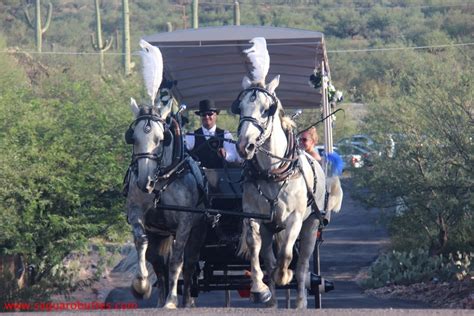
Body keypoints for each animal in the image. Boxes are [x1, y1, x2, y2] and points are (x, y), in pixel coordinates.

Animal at [124, 99, 207, 308]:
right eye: (133, 138)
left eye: (162, 139)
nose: (145, 181)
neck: (162, 179)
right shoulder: (136, 211)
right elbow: (141, 241)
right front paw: (141, 285)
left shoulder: (185, 222)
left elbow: (177, 260)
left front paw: (172, 300)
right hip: (160, 234)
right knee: (159, 263)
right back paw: (160, 299)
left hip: (198, 230)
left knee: (190, 262)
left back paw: (186, 302)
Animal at [232, 75, 340, 308]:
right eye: (240, 107)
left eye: (267, 109)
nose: (244, 146)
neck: (272, 172)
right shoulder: (254, 216)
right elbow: (255, 248)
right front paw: (260, 289)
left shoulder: (294, 219)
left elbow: (287, 256)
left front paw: (284, 276)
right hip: (270, 228)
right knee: (268, 259)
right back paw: (272, 301)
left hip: (311, 226)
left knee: (302, 266)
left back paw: (300, 302)